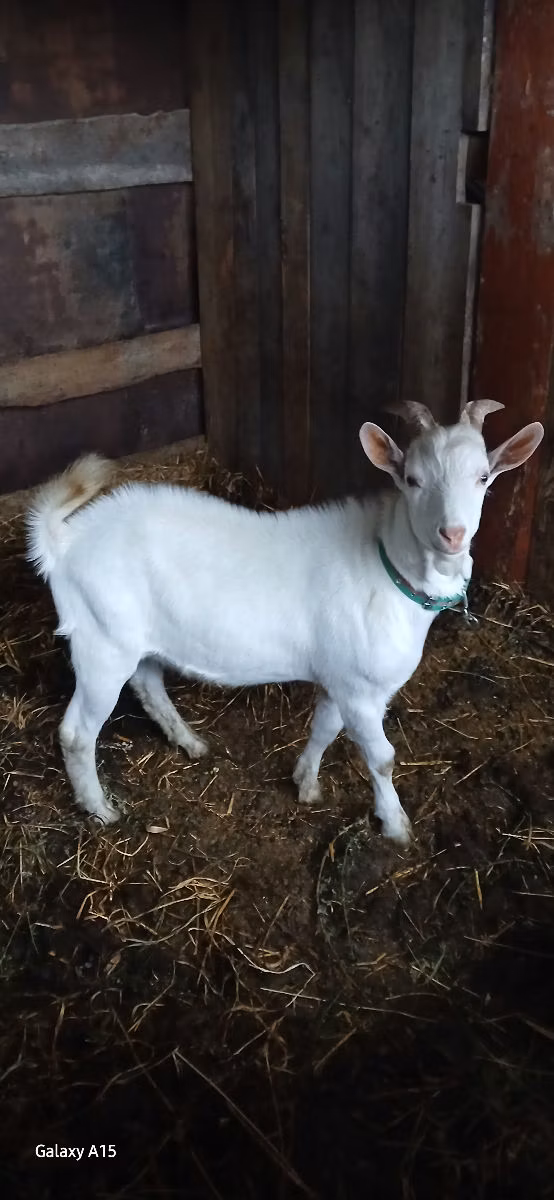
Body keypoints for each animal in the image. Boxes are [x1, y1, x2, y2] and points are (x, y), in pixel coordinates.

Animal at [27, 401, 543, 841]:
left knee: (149, 683)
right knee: (77, 732)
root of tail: (65, 540)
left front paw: (306, 784)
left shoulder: (341, 677)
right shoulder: (362, 689)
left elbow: (324, 728)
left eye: (483, 477)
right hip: (101, 641)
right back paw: (100, 808)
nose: (452, 534)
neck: (387, 565)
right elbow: (381, 759)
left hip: (138, 636)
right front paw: (396, 827)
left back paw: (191, 743)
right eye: (412, 480)